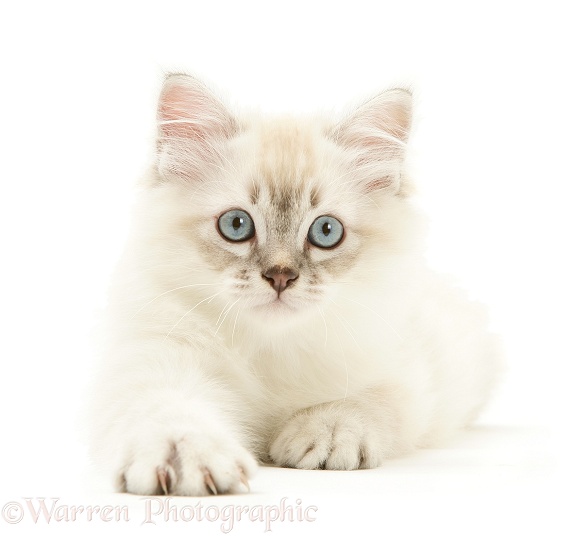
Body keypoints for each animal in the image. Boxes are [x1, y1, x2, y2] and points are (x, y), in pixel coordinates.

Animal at [88, 73, 500, 496]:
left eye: (326, 231)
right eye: (236, 225)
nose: (281, 276)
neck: (271, 346)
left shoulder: (404, 377)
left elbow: (366, 401)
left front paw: (327, 433)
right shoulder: (153, 360)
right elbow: (170, 411)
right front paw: (183, 455)